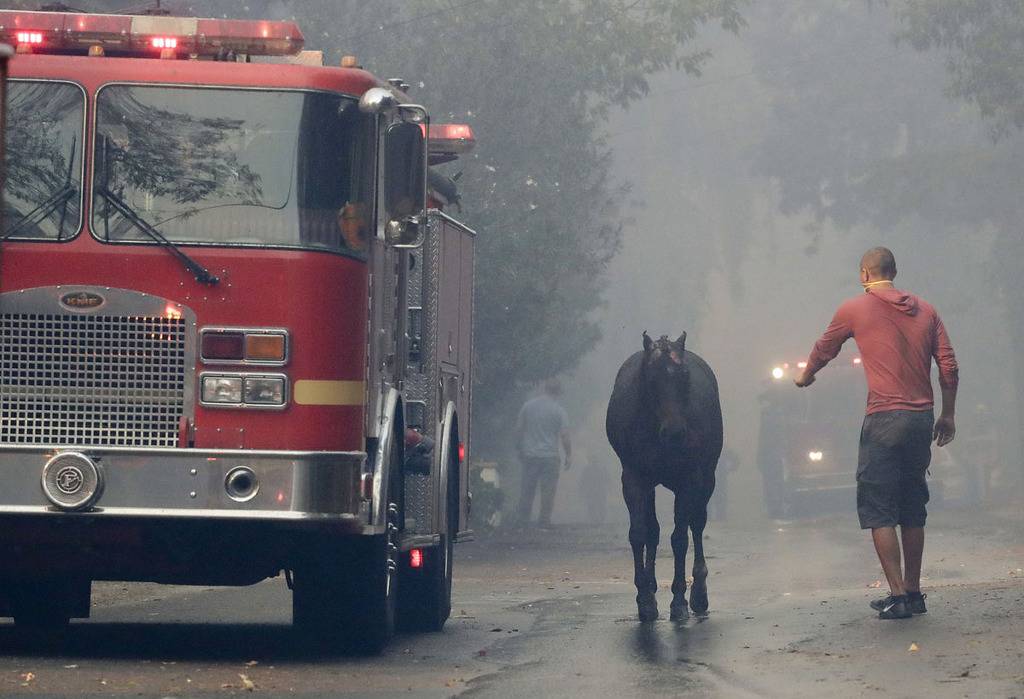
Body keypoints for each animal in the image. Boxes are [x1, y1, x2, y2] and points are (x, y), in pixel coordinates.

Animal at [602, 333, 724, 622]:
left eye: (684, 377)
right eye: (652, 379)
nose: (675, 432)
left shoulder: (689, 478)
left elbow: (680, 537)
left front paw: (679, 600)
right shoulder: (634, 477)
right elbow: (639, 533)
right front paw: (645, 599)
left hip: (707, 475)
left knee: (697, 523)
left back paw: (699, 593)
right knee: (653, 529)